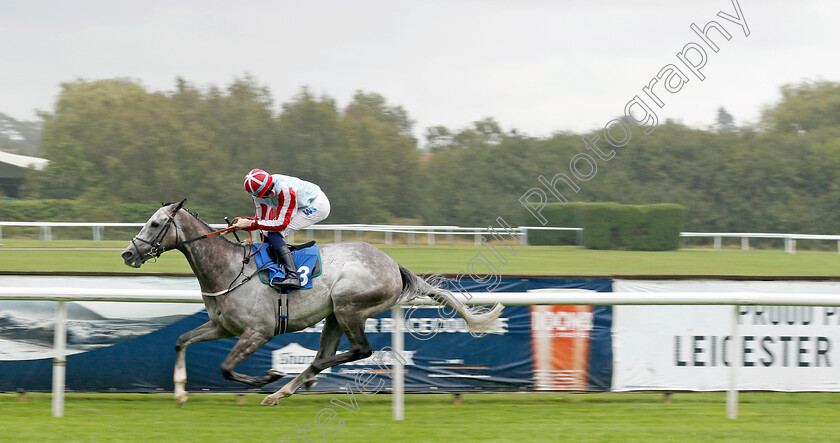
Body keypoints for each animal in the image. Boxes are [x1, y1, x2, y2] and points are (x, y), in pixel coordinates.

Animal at [117, 200, 498, 406]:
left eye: (155, 223)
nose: (128, 254)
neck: (228, 269)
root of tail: (393, 266)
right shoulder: (222, 326)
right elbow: (181, 341)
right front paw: (180, 393)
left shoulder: (259, 332)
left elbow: (226, 367)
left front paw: (266, 376)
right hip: (333, 316)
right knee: (326, 354)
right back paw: (288, 389)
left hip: (348, 306)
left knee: (357, 351)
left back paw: (290, 383)